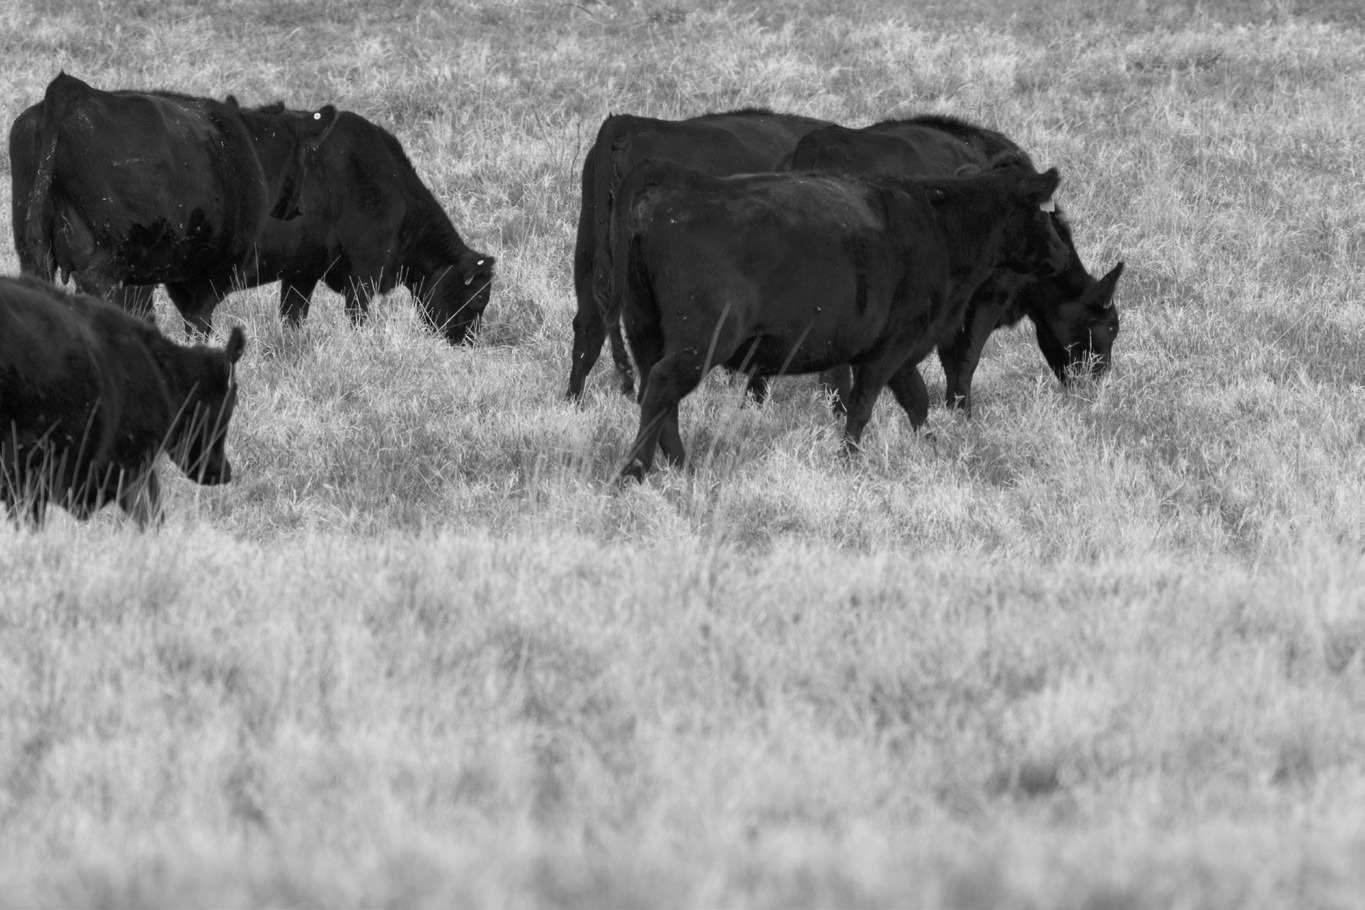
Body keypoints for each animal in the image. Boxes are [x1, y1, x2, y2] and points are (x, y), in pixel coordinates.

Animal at [9, 71, 337, 335]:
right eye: (305, 155)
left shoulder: (177, 273)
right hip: (114, 250)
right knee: (96, 287)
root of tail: (73, 91)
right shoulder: (218, 267)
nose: (299, 208)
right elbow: (199, 322)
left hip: (33, 247)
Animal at [109, 110, 496, 344]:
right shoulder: (366, 271)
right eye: (478, 299)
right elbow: (358, 317)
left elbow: (292, 315)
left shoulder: (303, 270)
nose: (468, 343)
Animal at [611, 154, 1071, 482]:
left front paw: (932, 448)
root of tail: (666, 194)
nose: (1062, 256)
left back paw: (681, 468)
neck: (940, 227)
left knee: (658, 395)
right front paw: (848, 459)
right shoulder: (892, 344)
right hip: (703, 337)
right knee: (662, 387)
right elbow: (863, 404)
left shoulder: (898, 347)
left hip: (645, 330)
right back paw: (634, 472)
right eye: (1044, 212)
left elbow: (916, 399)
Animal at [781, 114, 1124, 414]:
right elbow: (966, 355)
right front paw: (961, 412)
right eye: (1109, 327)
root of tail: (821, 143)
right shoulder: (993, 292)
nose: (1097, 386)